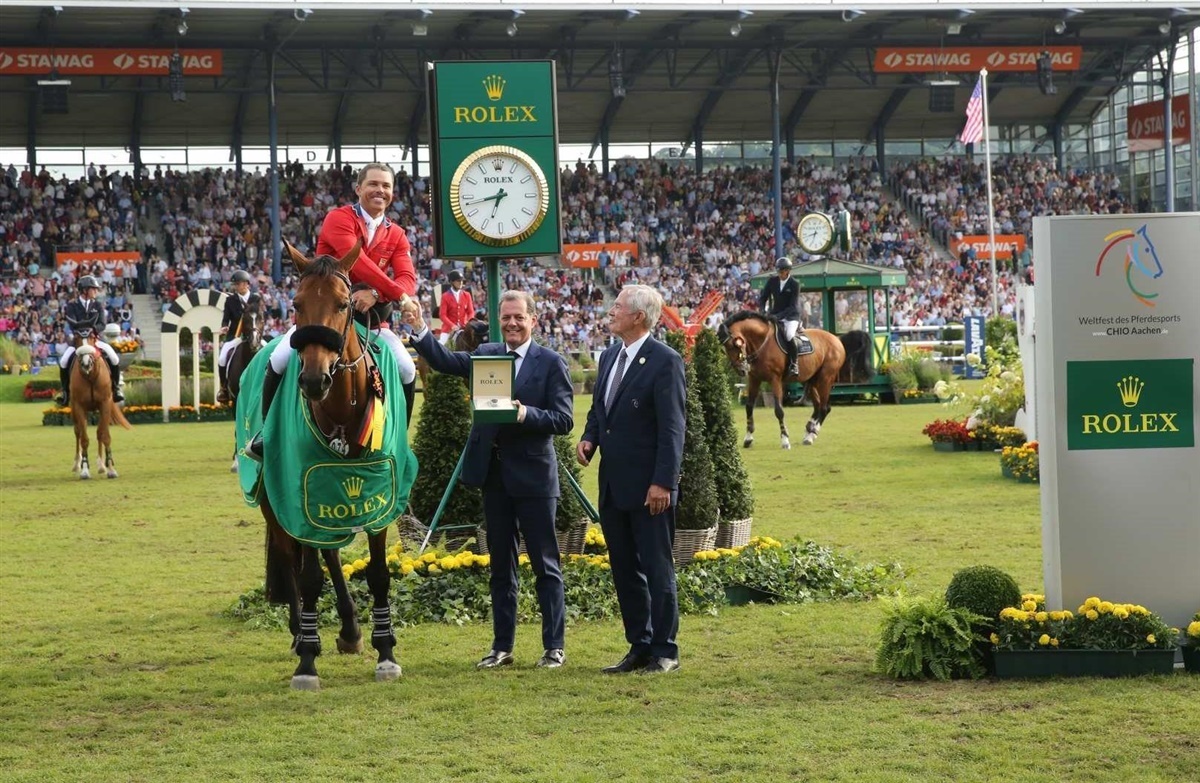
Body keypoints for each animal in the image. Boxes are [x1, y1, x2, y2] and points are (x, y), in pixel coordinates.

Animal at [68, 331, 132, 479]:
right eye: (77, 338)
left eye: (92, 337)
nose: (86, 364)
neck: (90, 376)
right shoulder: (79, 406)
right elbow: (84, 439)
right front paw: (85, 469)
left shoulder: (105, 404)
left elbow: (104, 435)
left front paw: (110, 469)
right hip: (74, 409)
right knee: (78, 432)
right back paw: (77, 463)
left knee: (99, 433)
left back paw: (101, 465)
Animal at [259, 241, 406, 690]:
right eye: (295, 303)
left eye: (344, 304)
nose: (312, 380)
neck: (341, 407)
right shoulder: (299, 487)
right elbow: (308, 577)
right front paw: (307, 660)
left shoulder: (380, 491)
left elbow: (378, 573)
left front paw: (386, 652)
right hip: (273, 497)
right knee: (290, 557)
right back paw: (299, 633)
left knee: (331, 554)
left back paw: (351, 630)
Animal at [718, 311, 870, 449]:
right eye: (724, 349)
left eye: (733, 345)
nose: (741, 370)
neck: (761, 343)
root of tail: (837, 339)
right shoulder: (755, 379)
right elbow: (749, 406)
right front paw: (748, 438)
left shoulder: (775, 379)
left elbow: (779, 410)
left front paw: (785, 440)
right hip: (810, 380)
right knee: (817, 406)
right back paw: (808, 430)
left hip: (825, 379)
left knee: (824, 407)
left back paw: (812, 435)